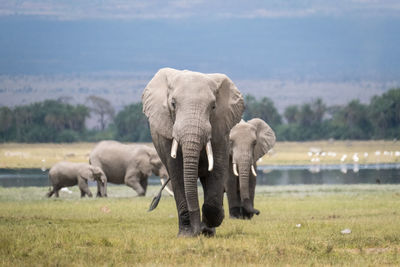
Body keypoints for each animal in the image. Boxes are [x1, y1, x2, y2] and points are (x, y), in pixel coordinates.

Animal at [142, 68, 245, 238]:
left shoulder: (220, 130)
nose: (198, 231)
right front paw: (187, 235)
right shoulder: (167, 134)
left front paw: (213, 222)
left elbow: (216, 170)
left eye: (213, 107)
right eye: (173, 104)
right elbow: (177, 172)